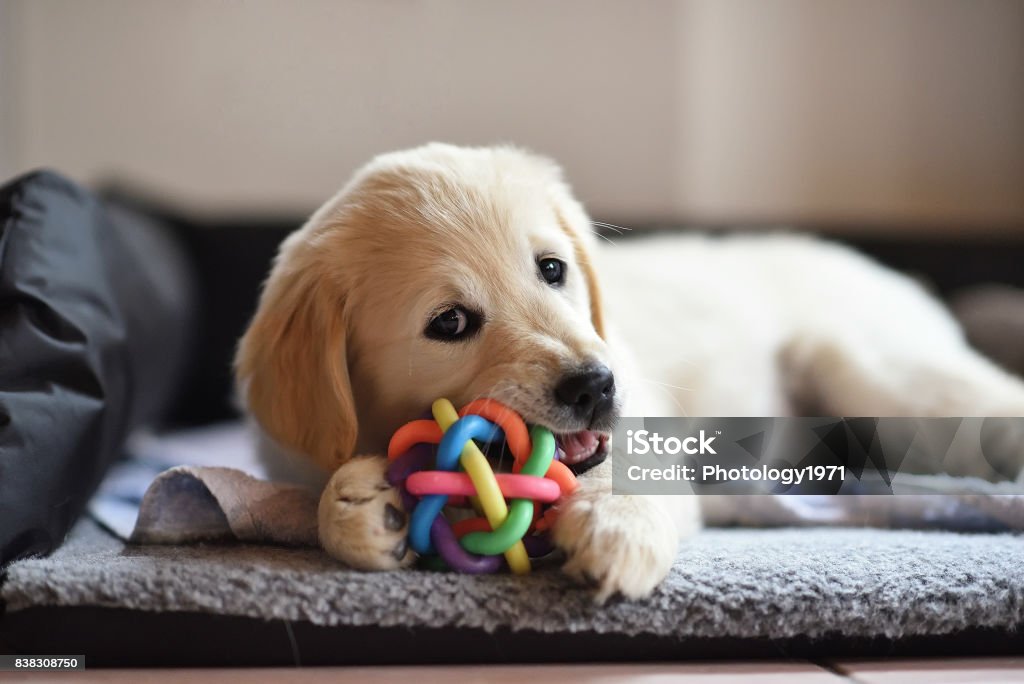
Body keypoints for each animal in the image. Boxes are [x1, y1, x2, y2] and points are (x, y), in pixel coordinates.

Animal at [235, 143, 1024, 597]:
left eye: (552, 269)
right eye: (449, 323)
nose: (595, 385)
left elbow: (636, 481)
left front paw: (616, 527)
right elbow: (319, 493)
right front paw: (361, 506)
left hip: (882, 378)